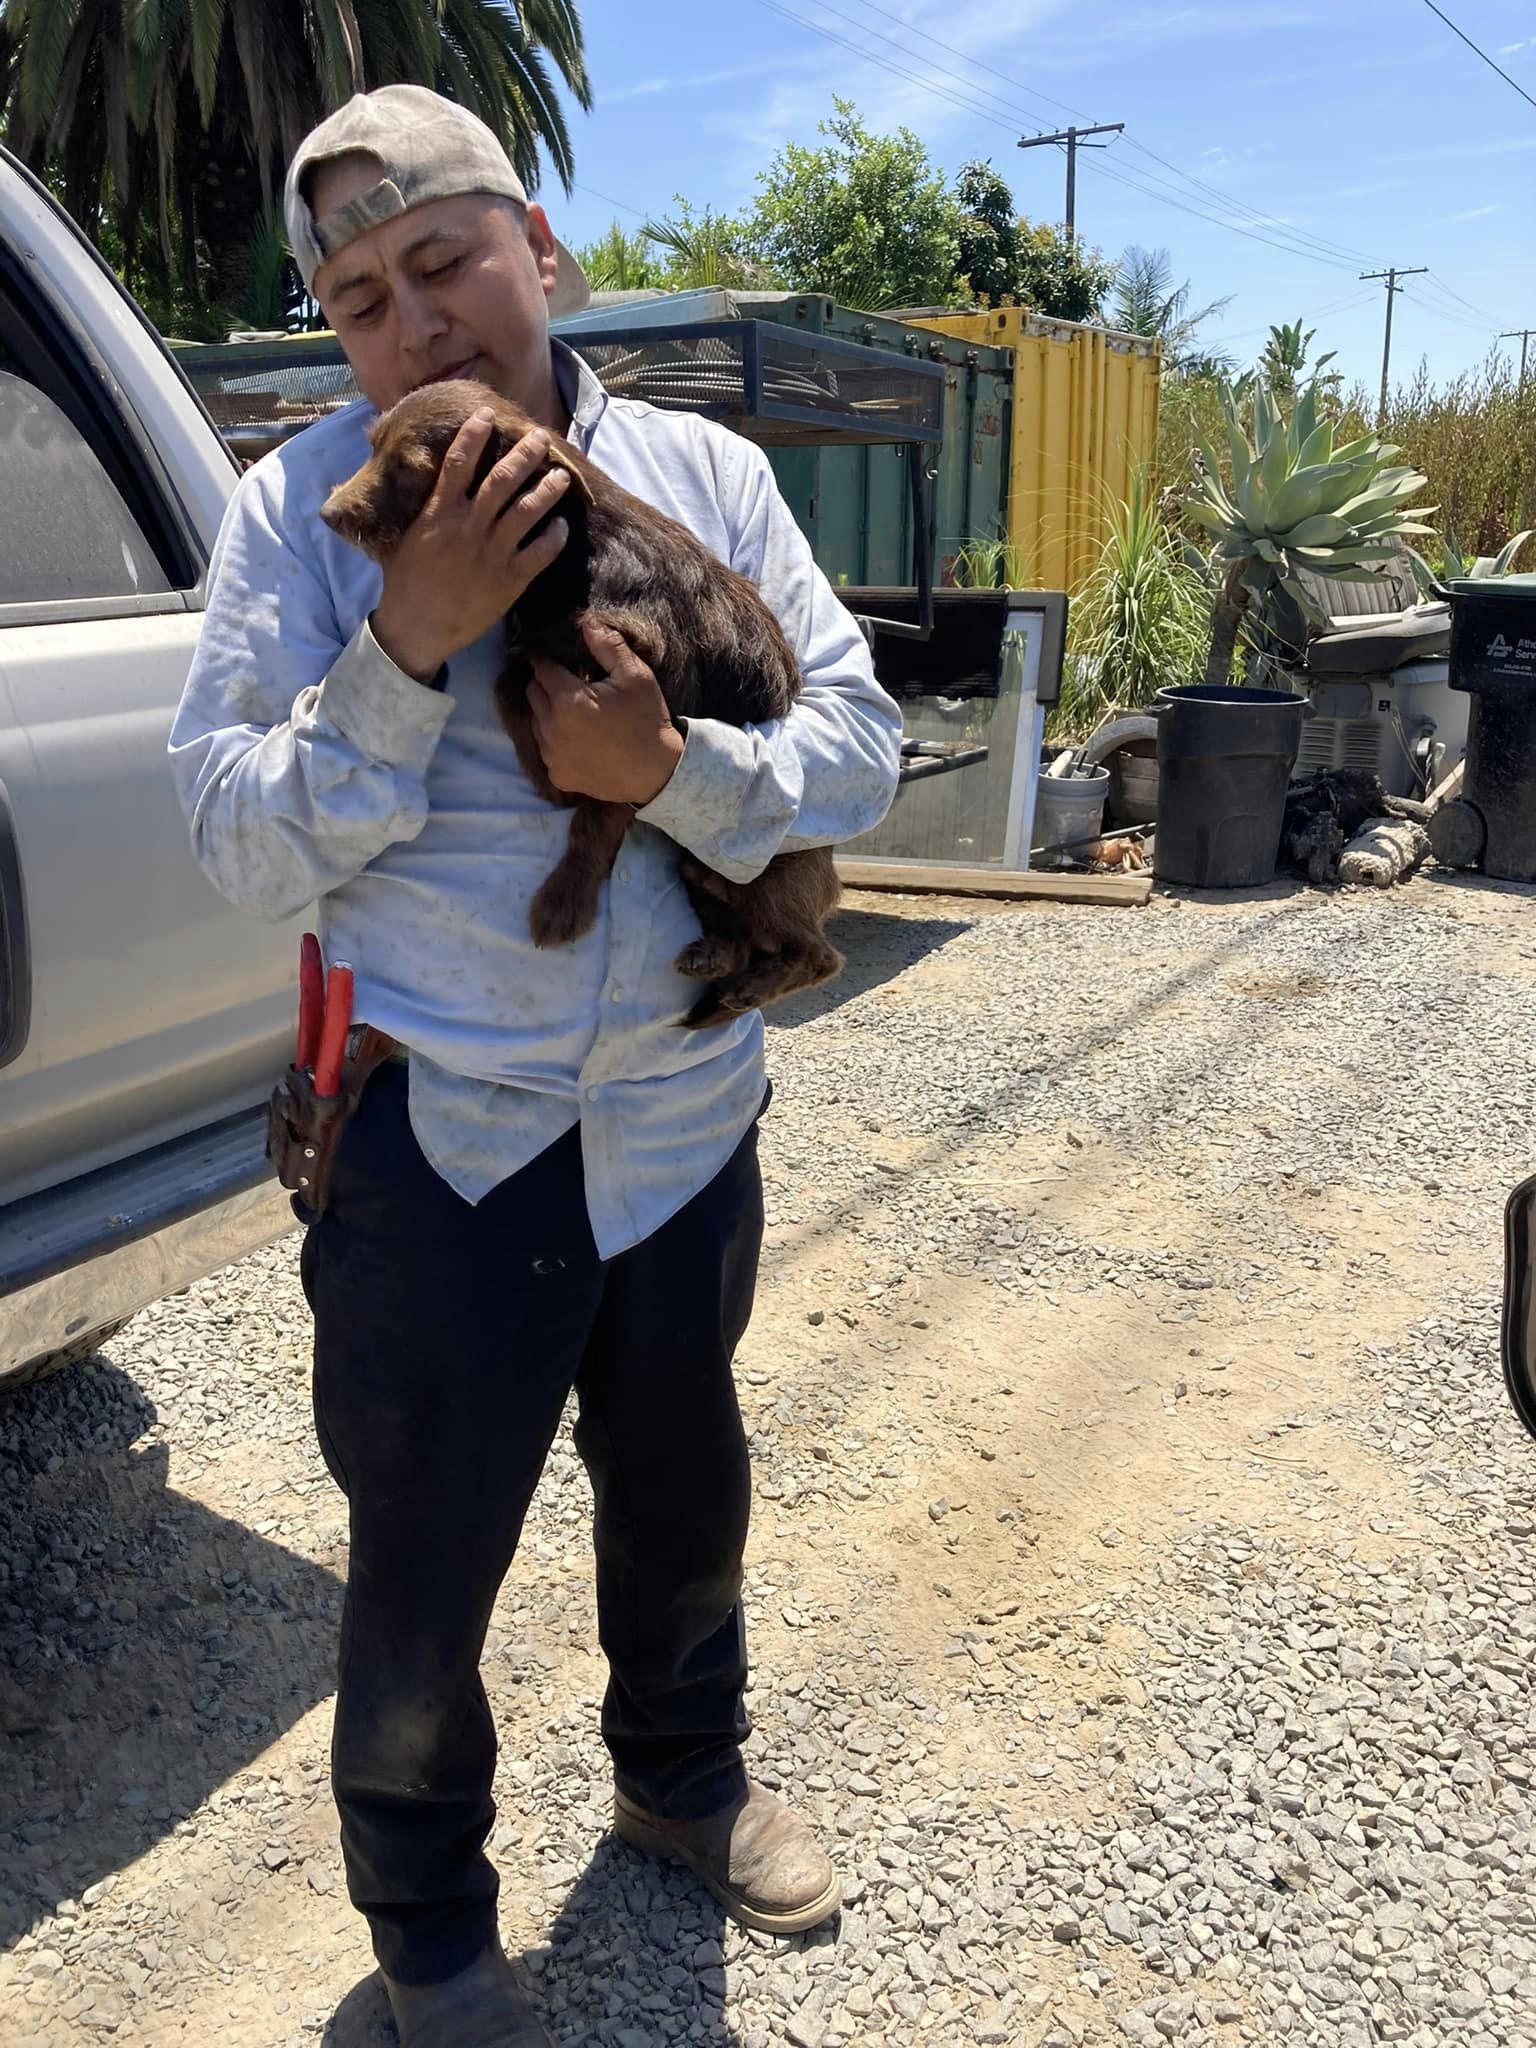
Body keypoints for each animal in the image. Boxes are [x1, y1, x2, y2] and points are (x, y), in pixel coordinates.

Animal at [325, 378, 847, 1024]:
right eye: (372, 447)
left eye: (410, 469)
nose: (329, 514)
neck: (572, 556)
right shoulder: (539, 646)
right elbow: (511, 679)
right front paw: (547, 776)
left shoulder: (638, 678)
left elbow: (596, 813)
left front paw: (563, 897)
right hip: (699, 868)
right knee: (741, 931)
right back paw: (717, 961)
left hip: (760, 870)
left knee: (817, 954)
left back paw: (755, 983)